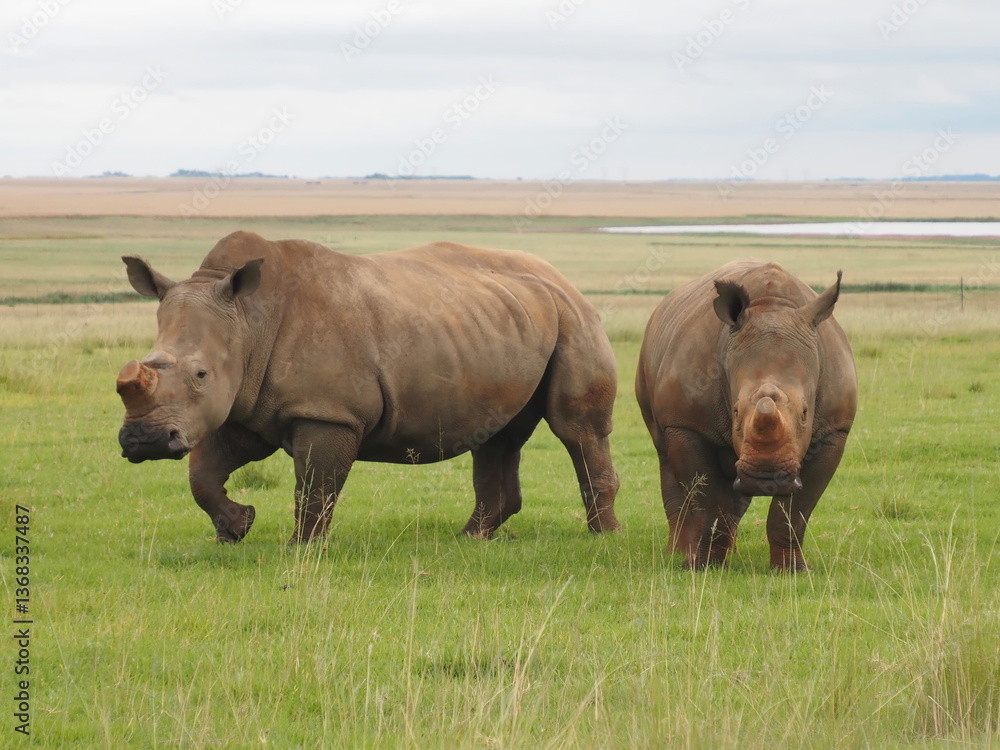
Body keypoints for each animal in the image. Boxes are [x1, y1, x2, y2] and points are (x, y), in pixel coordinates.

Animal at [116, 231, 620, 543]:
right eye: (148, 364)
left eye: (200, 374)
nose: (142, 440)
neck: (247, 320)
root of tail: (561, 278)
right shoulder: (246, 403)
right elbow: (203, 472)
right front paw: (236, 527)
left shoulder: (327, 411)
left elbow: (315, 485)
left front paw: (301, 548)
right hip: (504, 323)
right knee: (497, 435)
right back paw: (469, 539)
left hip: (573, 317)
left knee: (577, 430)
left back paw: (603, 537)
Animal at [635, 260, 857, 571]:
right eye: (736, 411)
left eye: (805, 413)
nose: (766, 477)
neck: (773, 307)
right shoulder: (688, 425)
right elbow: (707, 503)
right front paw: (703, 567)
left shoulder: (833, 430)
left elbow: (794, 513)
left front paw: (792, 570)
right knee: (667, 460)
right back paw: (678, 553)